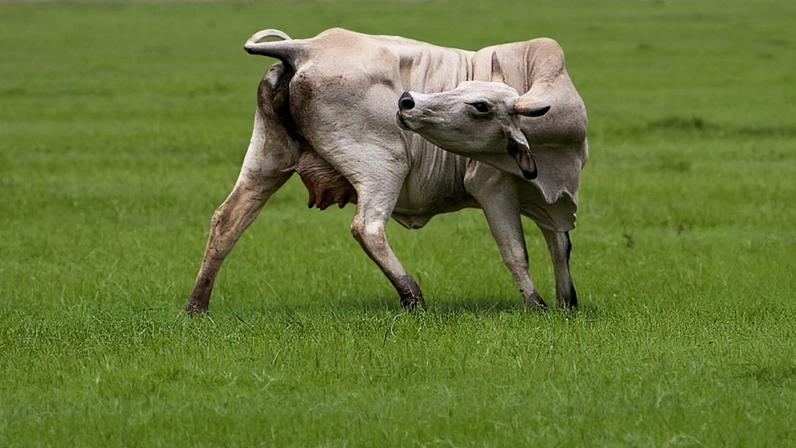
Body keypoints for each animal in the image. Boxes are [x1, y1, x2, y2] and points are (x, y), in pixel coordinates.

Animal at [185, 27, 587, 314]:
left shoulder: (552, 197)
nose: (407, 100)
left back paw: (196, 306)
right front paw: (536, 304)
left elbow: (560, 246)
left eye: (479, 104)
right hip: (385, 168)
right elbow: (515, 250)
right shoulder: (493, 189)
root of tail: (304, 49)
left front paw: (567, 302)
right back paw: (412, 296)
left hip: (266, 161)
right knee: (368, 228)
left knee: (227, 221)